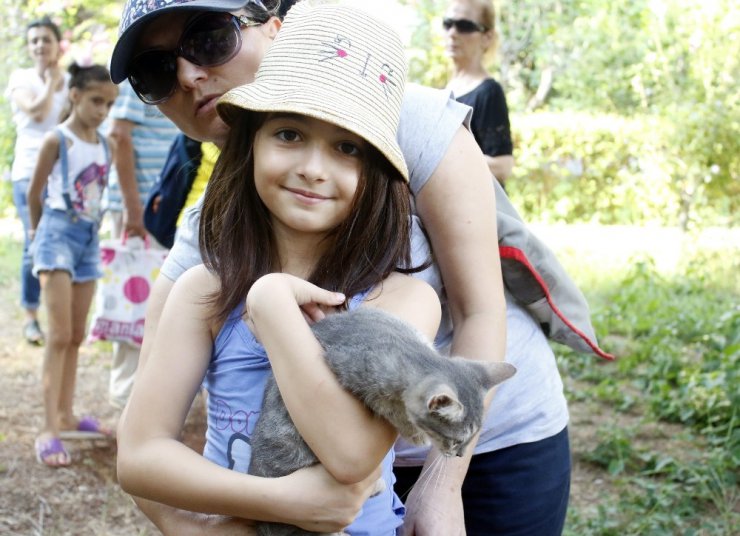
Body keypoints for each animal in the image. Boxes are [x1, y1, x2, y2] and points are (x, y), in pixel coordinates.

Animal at [249, 306, 516, 536]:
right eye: (455, 440)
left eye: (472, 438)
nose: (460, 455)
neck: (408, 348)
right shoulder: (350, 369)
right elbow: (390, 407)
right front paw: (414, 431)